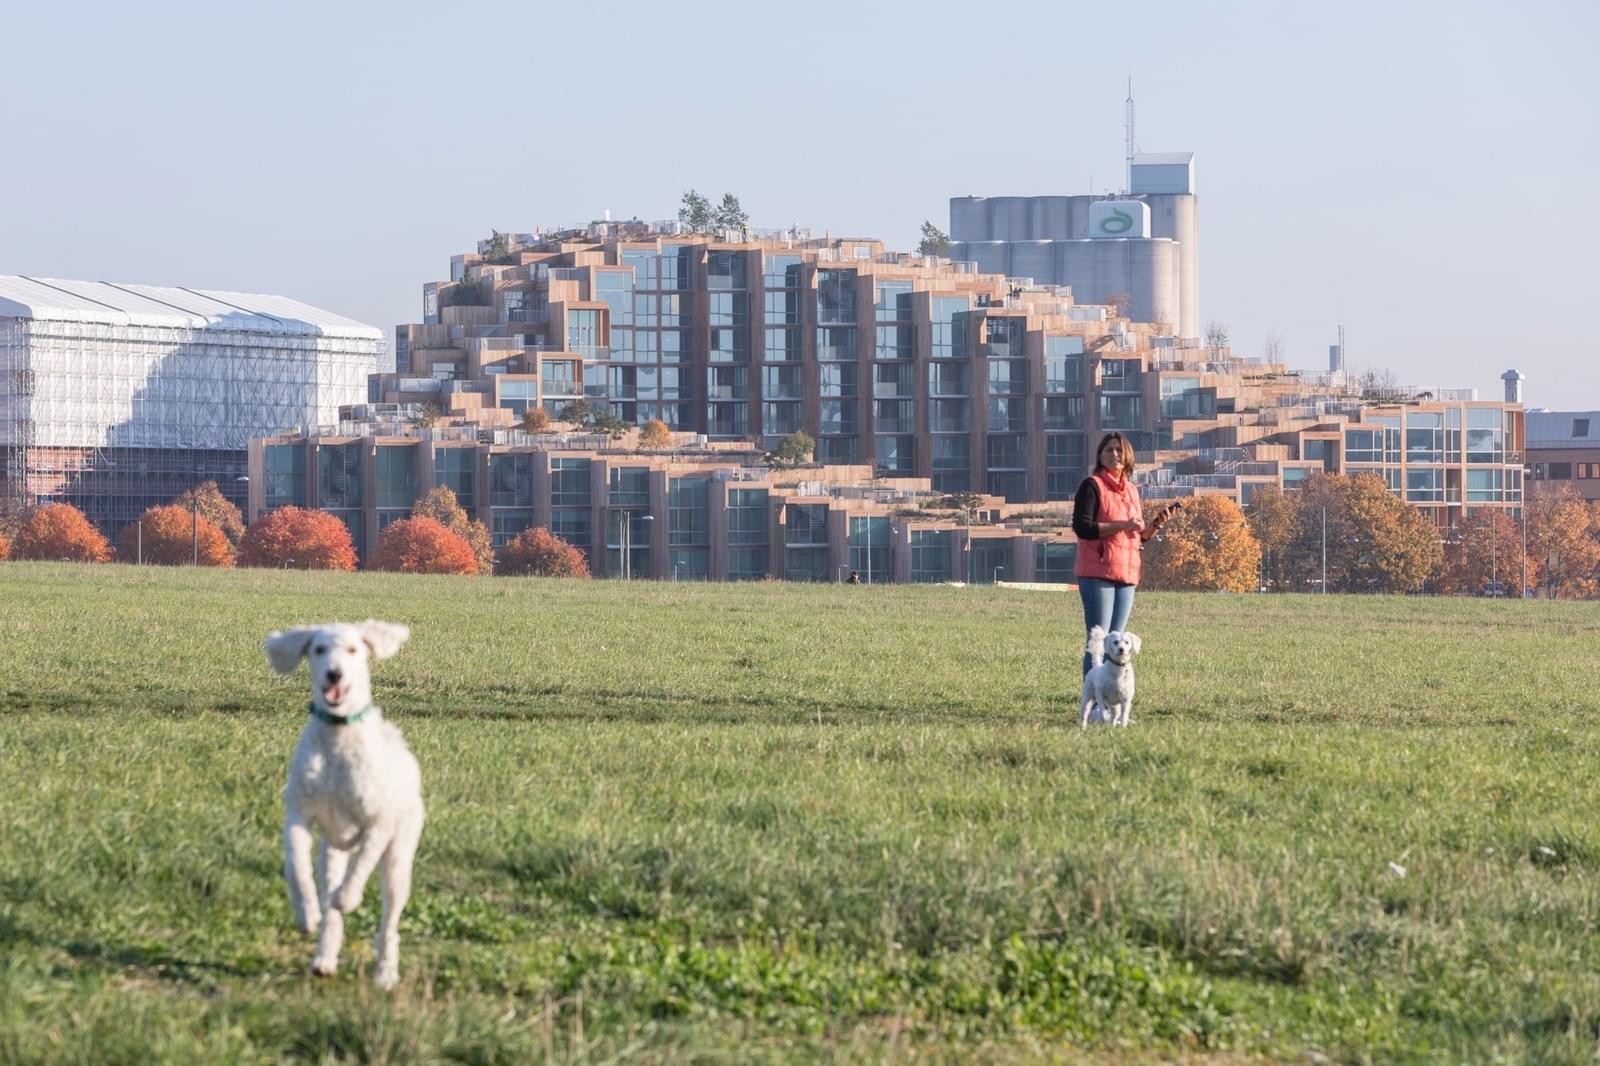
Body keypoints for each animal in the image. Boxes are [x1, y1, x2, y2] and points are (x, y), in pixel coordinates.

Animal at [265, 614, 425, 985]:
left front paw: (348, 897)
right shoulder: (299, 814)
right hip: (331, 851)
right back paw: (324, 956)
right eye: (319, 649)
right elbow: (296, 865)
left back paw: (385, 973)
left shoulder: (378, 823)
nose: (334, 674)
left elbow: (362, 864)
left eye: (353, 650)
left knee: (389, 923)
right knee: (332, 908)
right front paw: (306, 913)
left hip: (399, 858)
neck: (338, 737)